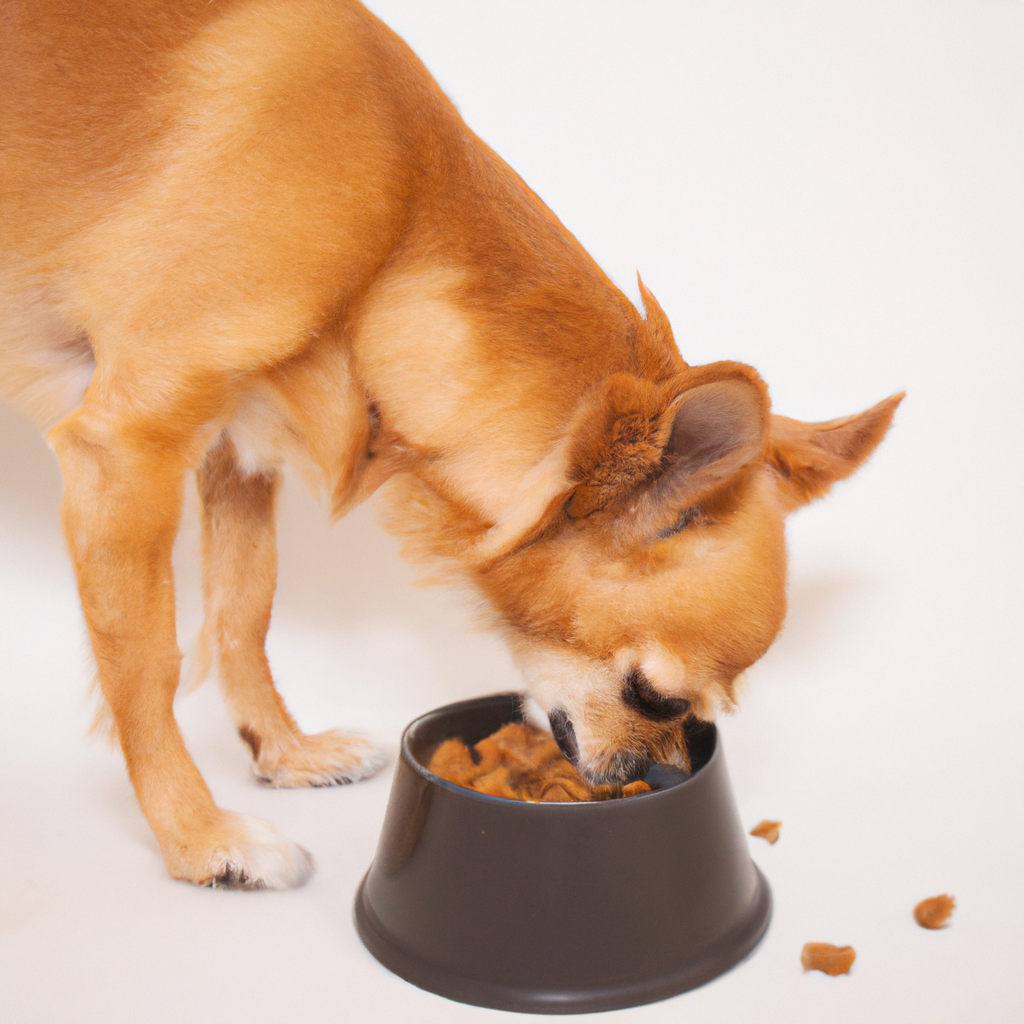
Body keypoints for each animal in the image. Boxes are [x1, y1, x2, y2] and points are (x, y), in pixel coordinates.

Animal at [0, 0, 901, 888]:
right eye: (654, 697)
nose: (670, 777)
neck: (393, 242)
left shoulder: (238, 449)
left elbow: (243, 606)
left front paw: (282, 752)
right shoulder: (125, 449)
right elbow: (147, 664)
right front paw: (200, 839)